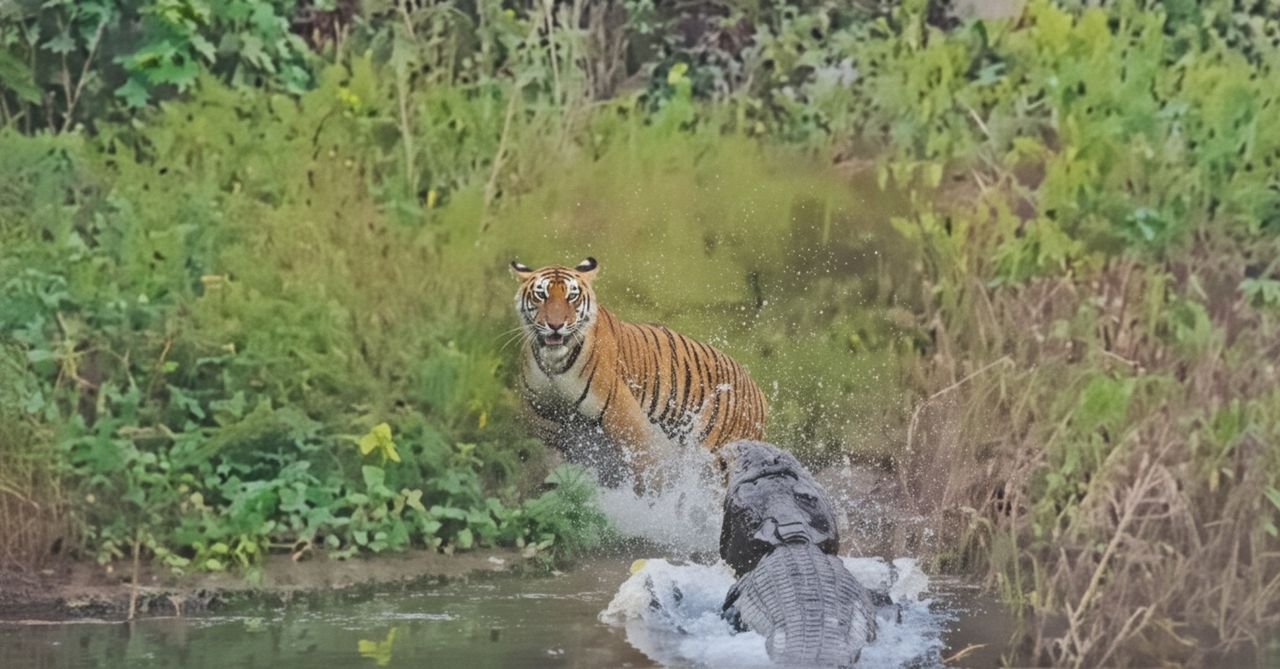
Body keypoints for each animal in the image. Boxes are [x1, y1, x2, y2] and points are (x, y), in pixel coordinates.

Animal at [510, 256, 767, 490]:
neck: (553, 366)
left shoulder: (628, 422)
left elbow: (646, 473)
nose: (555, 325)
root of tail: (757, 390)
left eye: (571, 296)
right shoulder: (550, 434)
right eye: (541, 295)